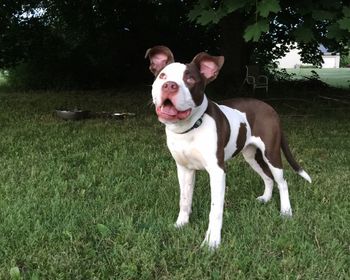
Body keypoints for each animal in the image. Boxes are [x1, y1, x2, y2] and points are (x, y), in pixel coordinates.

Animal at [145, 46, 312, 249]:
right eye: (162, 76)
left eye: (190, 79)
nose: (169, 85)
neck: (190, 128)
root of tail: (270, 108)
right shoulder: (184, 169)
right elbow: (184, 200)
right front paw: (181, 224)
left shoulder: (217, 172)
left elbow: (215, 210)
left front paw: (212, 241)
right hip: (251, 156)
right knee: (268, 177)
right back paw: (265, 198)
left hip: (271, 153)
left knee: (282, 181)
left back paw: (286, 211)